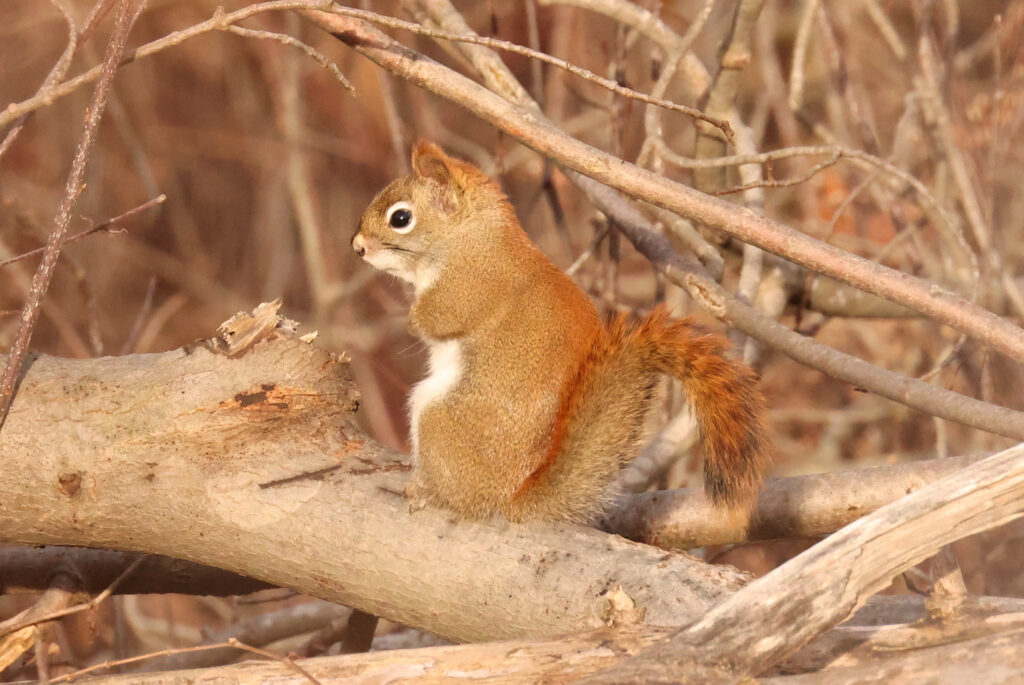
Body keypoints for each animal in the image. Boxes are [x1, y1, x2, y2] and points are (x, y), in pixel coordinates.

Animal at [352, 142, 770, 524]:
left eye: (400, 217)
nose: (357, 248)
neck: (471, 236)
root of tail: (509, 498)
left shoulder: (468, 287)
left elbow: (435, 319)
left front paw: (410, 317)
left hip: (437, 419)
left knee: (459, 497)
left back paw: (429, 492)